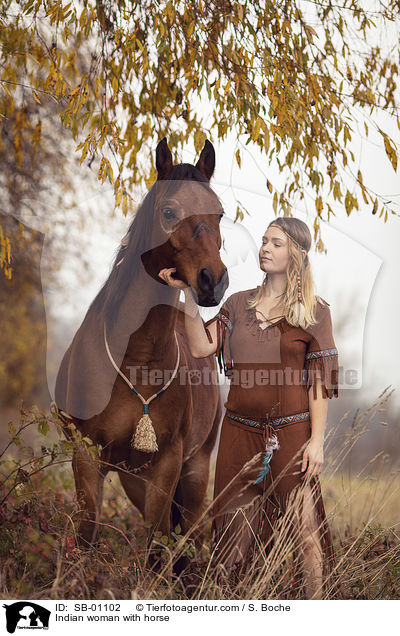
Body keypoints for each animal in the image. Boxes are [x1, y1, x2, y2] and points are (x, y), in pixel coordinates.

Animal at [53, 137, 228, 560]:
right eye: (169, 211)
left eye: (219, 213)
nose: (213, 281)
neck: (136, 360)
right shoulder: (86, 457)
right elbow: (87, 535)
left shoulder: (167, 464)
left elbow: (156, 543)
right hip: (133, 477)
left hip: (194, 470)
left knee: (189, 536)